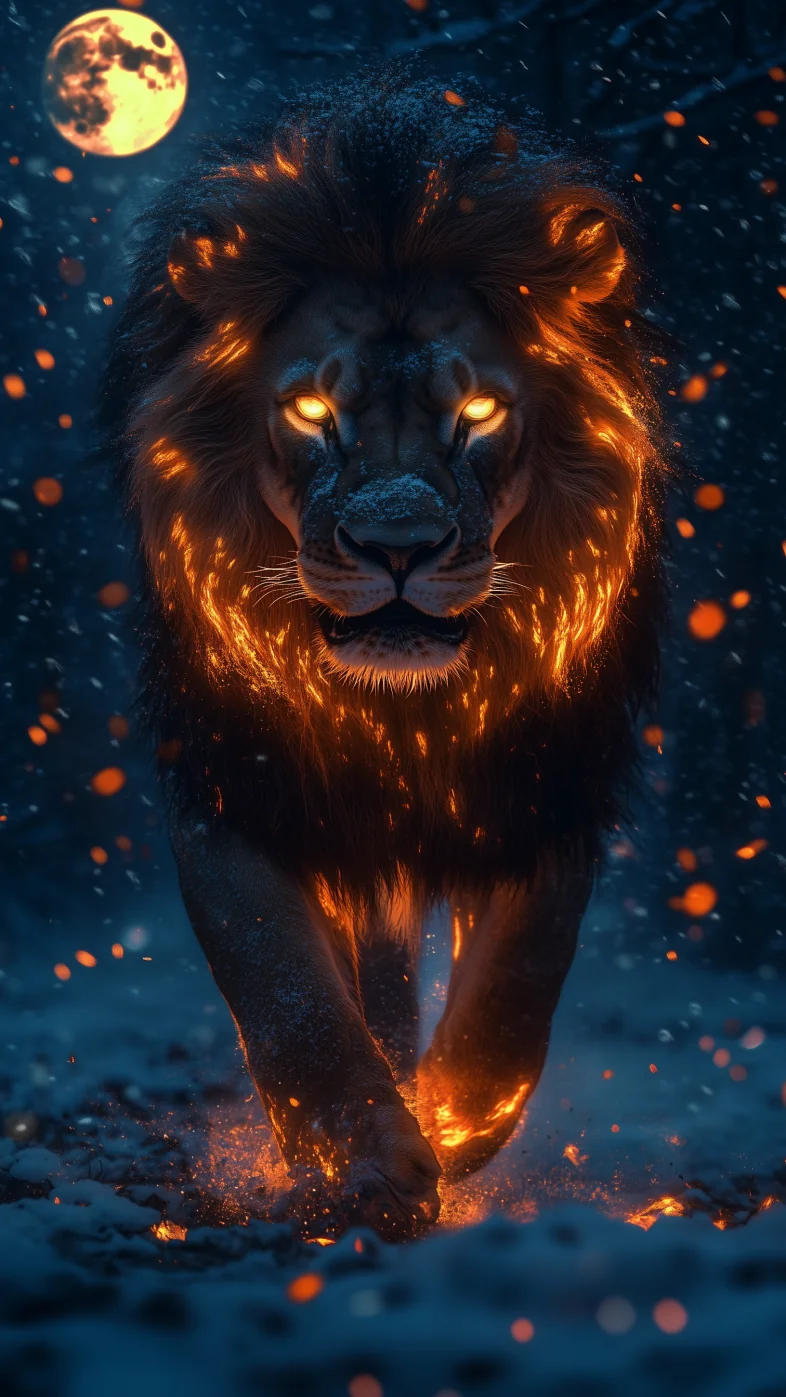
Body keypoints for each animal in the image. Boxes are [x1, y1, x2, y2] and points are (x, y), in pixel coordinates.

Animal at [104, 72, 668, 1238]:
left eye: (482, 409)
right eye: (314, 408)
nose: (398, 546)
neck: (403, 711)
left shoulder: (549, 778)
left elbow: (521, 976)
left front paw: (457, 1119)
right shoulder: (235, 784)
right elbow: (286, 992)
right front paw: (369, 1159)